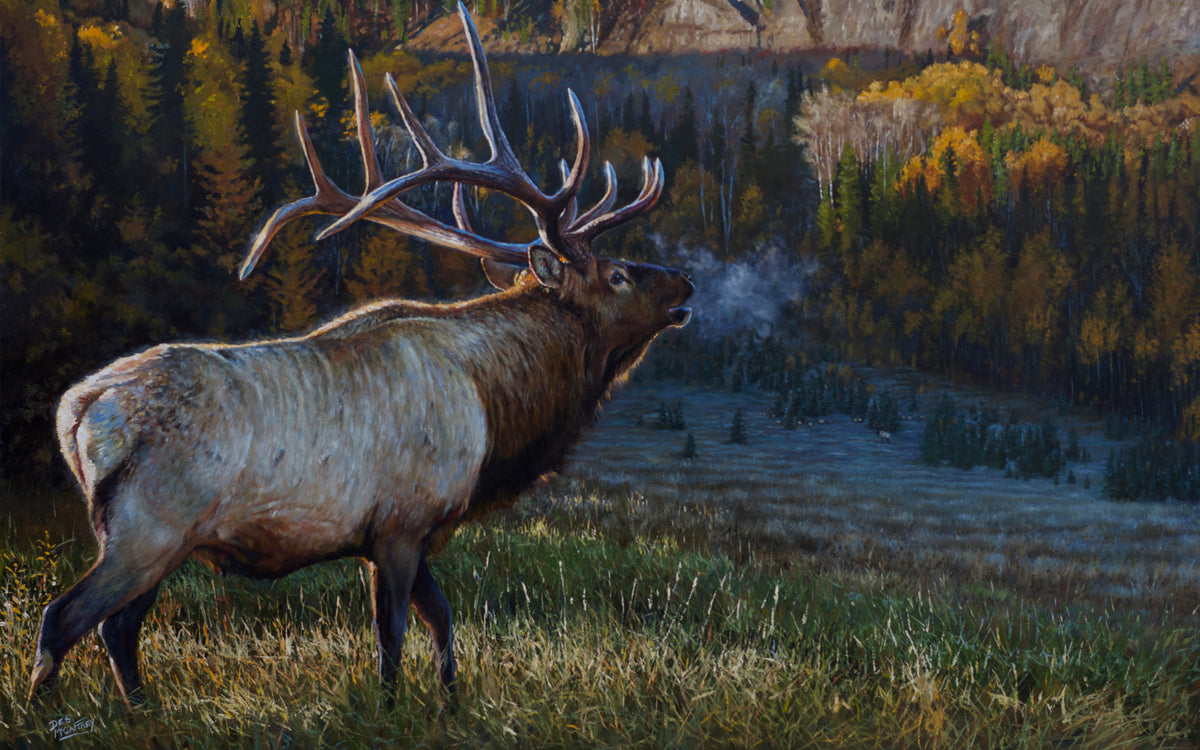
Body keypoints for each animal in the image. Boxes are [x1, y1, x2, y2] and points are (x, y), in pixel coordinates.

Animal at [29, 3, 693, 709]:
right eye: (619, 275)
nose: (685, 283)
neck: (495, 410)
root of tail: (77, 409)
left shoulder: (407, 535)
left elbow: (442, 620)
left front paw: (449, 700)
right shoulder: (401, 524)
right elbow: (393, 634)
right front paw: (392, 707)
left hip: (151, 539)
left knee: (118, 627)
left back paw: (139, 711)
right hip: (149, 526)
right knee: (67, 617)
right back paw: (49, 711)